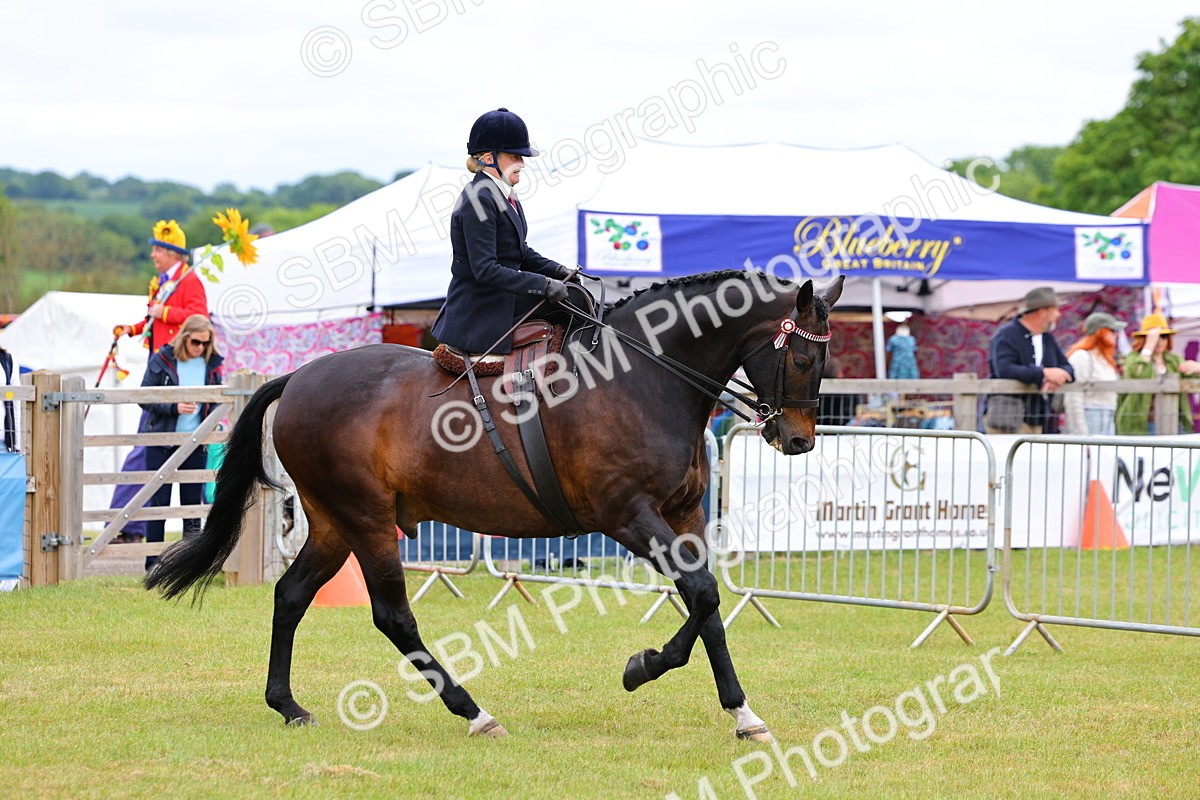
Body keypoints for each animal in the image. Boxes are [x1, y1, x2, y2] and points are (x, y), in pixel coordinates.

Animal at [146, 269, 845, 742]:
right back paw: (474, 713)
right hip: (368, 521)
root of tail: (300, 377)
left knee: (291, 595)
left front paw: (735, 710)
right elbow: (700, 594)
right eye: (801, 354)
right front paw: (646, 669)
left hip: (331, 524)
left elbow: (708, 605)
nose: (798, 440)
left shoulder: (684, 516)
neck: (645, 377)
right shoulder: (628, 516)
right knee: (393, 617)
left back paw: (288, 705)